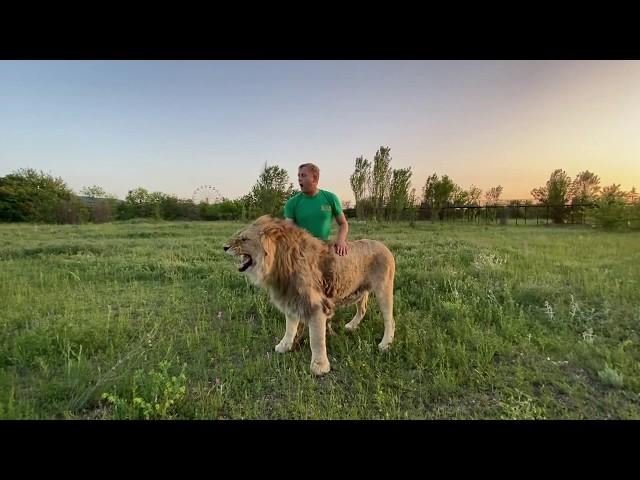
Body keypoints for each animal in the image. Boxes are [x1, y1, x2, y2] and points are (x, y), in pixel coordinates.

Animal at [224, 216, 396, 376]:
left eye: (244, 239)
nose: (224, 247)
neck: (278, 266)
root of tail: (384, 245)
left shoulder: (316, 306)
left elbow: (316, 339)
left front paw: (319, 366)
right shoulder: (291, 300)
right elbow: (289, 329)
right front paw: (284, 346)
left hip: (383, 289)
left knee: (390, 320)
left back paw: (385, 345)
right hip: (360, 291)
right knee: (363, 309)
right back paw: (351, 326)